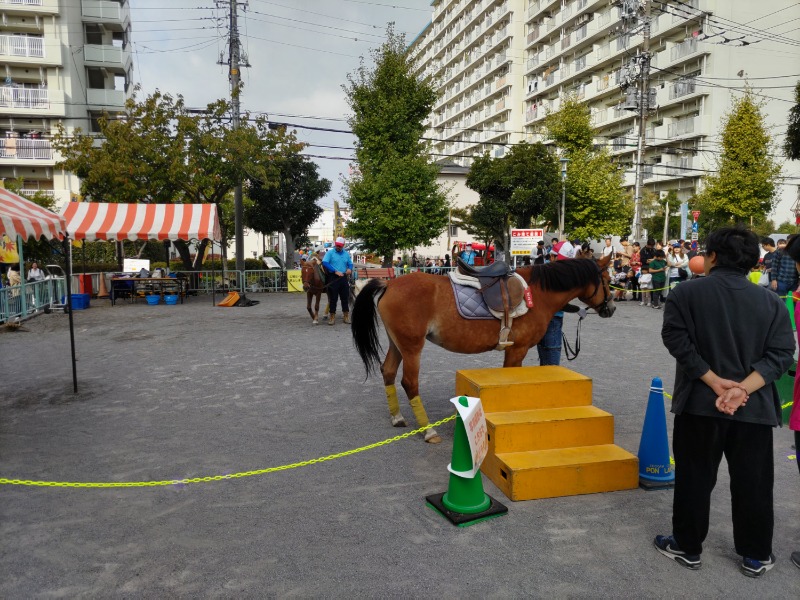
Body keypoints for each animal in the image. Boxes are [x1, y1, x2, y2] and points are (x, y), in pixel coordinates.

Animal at [348, 253, 612, 440]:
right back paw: (428, 431)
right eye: (608, 280)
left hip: (398, 344)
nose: (610, 308)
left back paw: (397, 418)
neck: (537, 293)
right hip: (412, 347)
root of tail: (389, 285)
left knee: (388, 371)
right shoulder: (517, 350)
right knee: (409, 382)